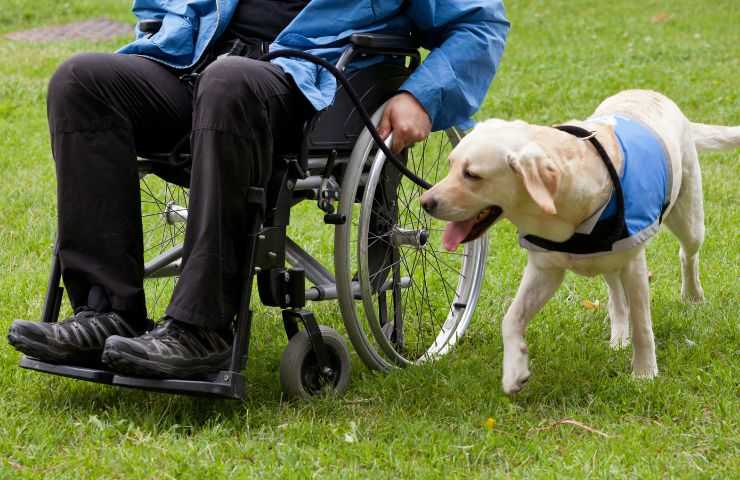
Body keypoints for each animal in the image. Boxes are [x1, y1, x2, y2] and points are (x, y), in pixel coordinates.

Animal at [422, 89, 740, 394]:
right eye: (450, 164)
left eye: (472, 175)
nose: (425, 202)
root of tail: (655, 94)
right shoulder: (544, 270)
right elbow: (510, 318)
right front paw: (514, 370)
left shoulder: (634, 264)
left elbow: (643, 326)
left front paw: (644, 374)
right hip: (609, 259)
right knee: (616, 297)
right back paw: (619, 336)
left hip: (689, 220)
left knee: (687, 254)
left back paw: (693, 296)